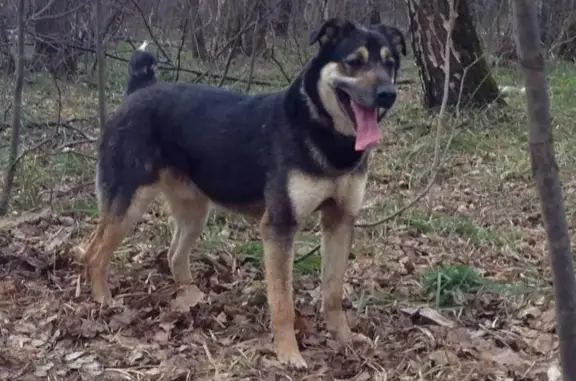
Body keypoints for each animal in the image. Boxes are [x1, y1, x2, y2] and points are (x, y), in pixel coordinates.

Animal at [75, 18, 404, 368]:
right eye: (354, 62)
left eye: (390, 64)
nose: (388, 95)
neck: (324, 133)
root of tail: (140, 89)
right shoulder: (279, 227)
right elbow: (282, 302)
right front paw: (288, 353)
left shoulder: (340, 221)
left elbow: (332, 292)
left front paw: (343, 338)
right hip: (128, 204)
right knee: (94, 253)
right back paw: (104, 301)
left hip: (194, 211)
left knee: (174, 254)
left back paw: (191, 299)